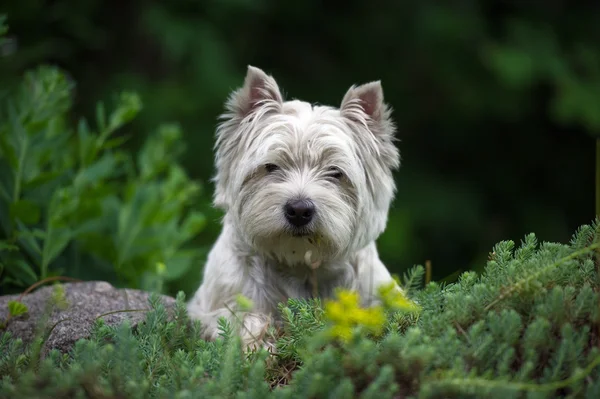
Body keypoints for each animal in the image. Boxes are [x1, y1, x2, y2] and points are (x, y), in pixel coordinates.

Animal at [186, 66, 404, 350]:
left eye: (336, 172)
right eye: (270, 167)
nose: (299, 210)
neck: (300, 263)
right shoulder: (214, 308)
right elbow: (241, 319)